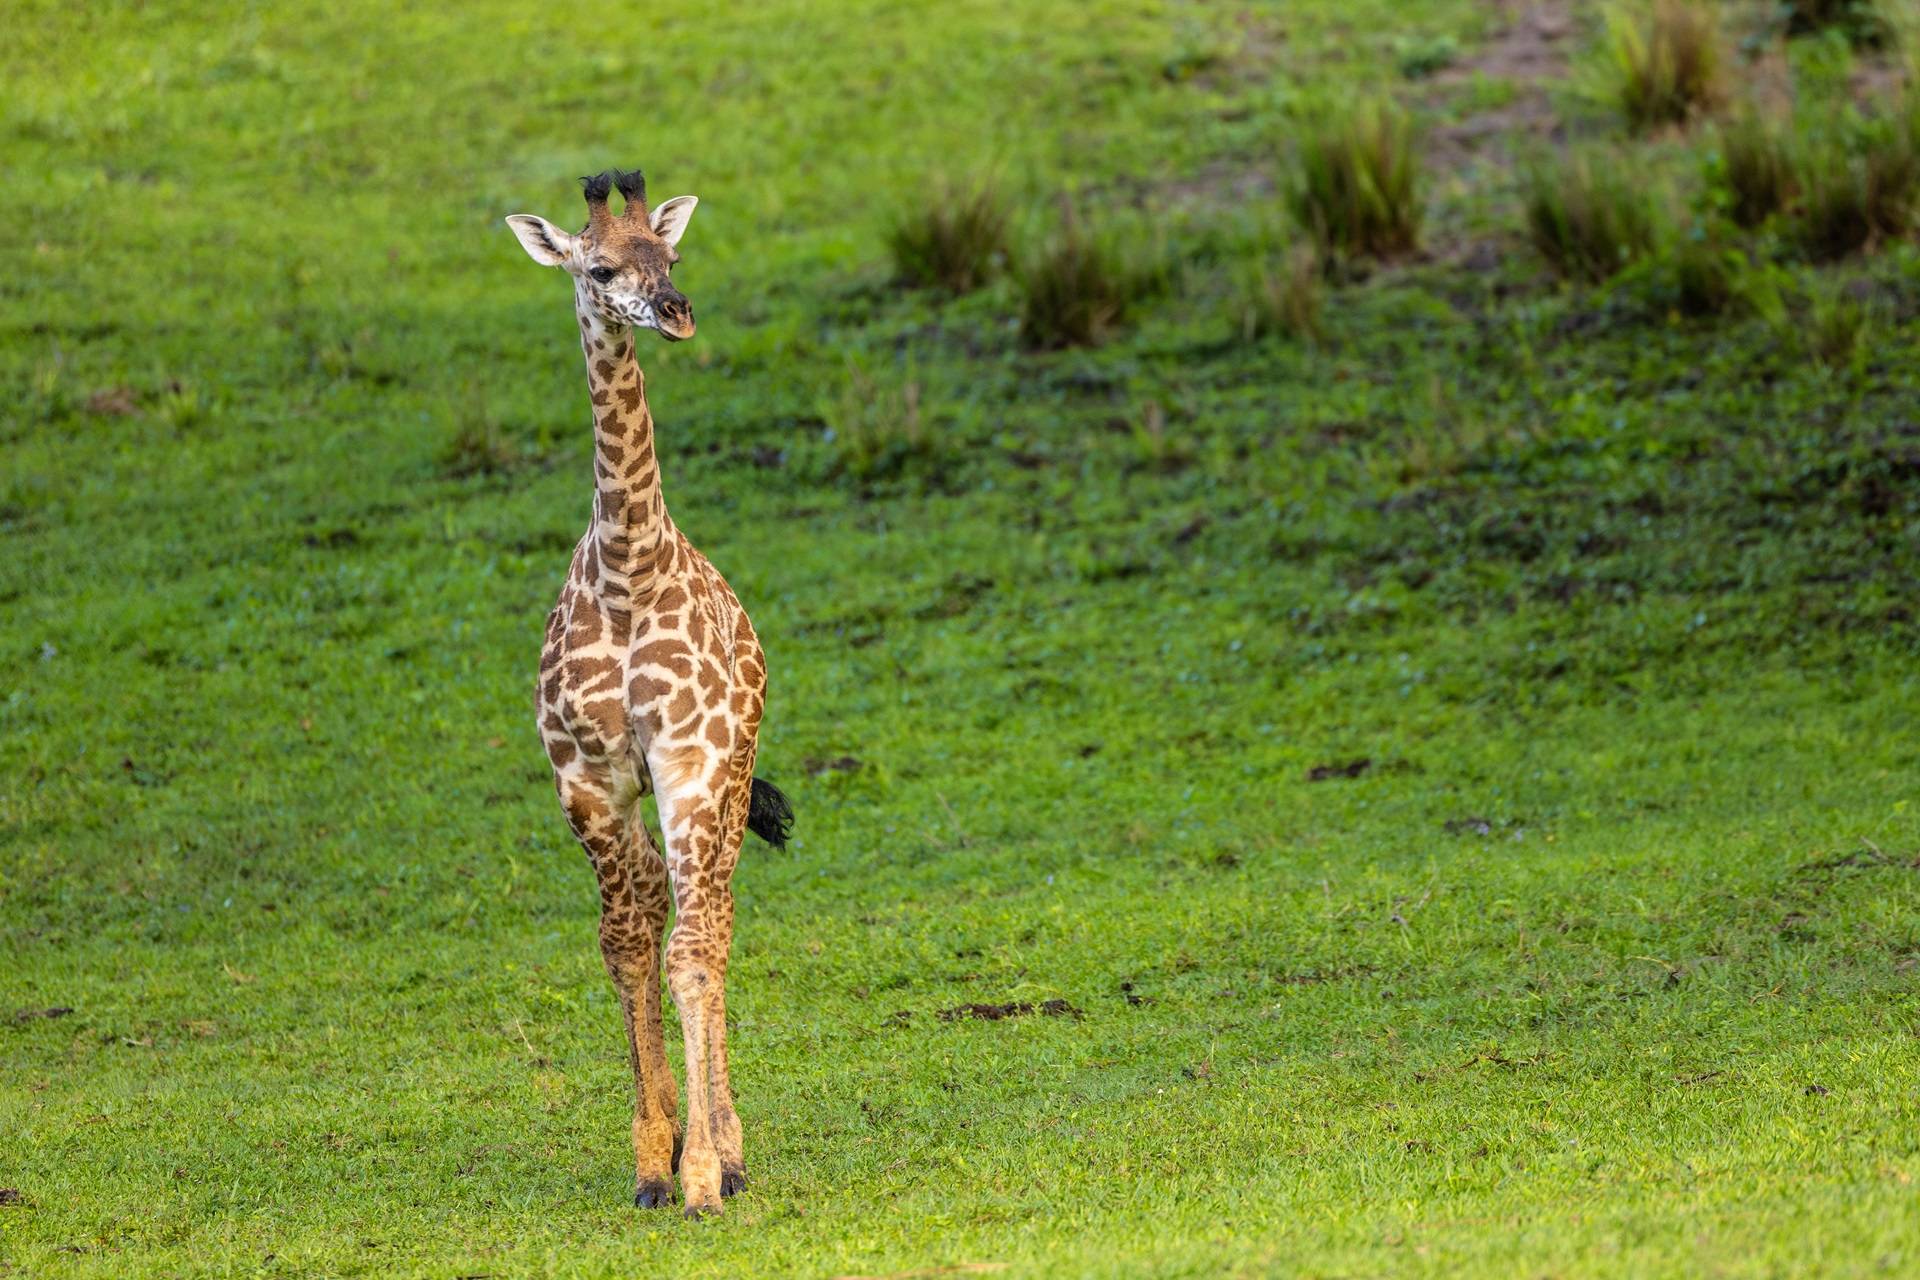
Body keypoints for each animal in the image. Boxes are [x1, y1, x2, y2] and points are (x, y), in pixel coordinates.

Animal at [505, 169, 793, 1219]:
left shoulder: (691, 764)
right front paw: (651, 1161)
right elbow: (626, 944)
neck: (630, 570)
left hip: (728, 779)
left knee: (713, 924)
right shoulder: (588, 783)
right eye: (598, 268)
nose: (674, 310)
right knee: (666, 920)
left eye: (670, 255)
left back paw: (732, 1151)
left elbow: (688, 954)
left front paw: (705, 1171)